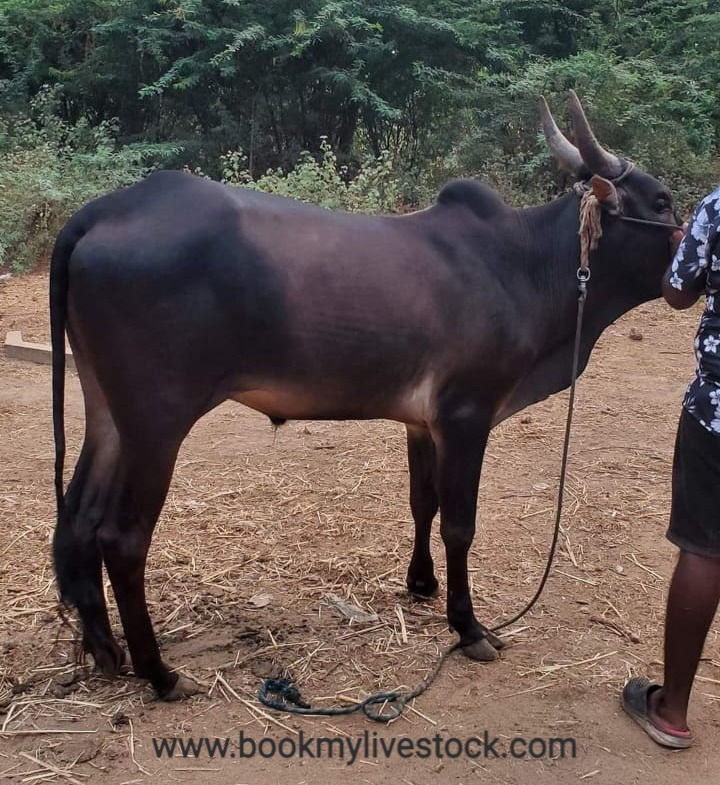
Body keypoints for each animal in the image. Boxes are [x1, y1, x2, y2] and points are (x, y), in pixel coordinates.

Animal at [50, 92, 681, 699]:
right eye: (662, 201)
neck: (524, 266)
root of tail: (104, 210)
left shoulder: (423, 422)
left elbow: (423, 502)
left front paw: (421, 583)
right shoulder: (465, 414)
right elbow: (460, 523)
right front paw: (468, 627)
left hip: (108, 411)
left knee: (78, 515)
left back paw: (105, 651)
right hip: (158, 421)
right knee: (122, 537)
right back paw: (158, 673)